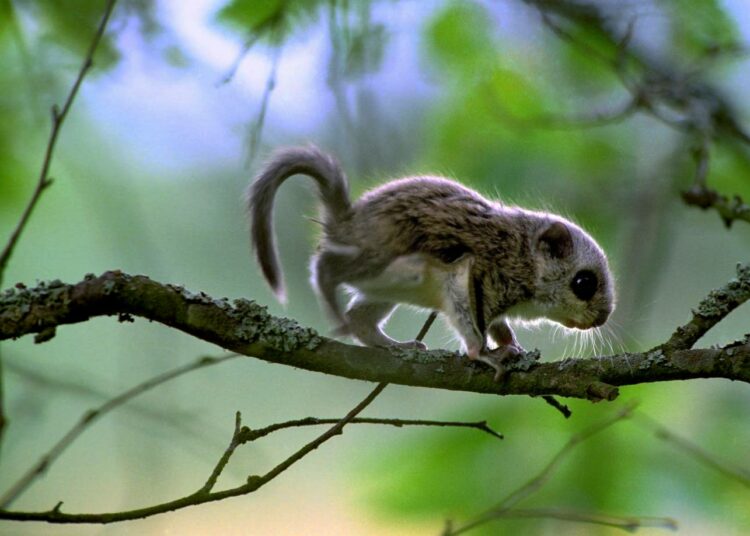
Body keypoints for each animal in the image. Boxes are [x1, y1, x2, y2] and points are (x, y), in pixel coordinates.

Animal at [248, 146, 616, 376]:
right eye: (584, 283)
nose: (602, 319)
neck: (520, 254)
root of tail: (344, 221)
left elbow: (499, 326)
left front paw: (512, 344)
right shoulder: (467, 276)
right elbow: (472, 328)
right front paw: (485, 354)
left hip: (386, 286)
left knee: (359, 319)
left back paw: (393, 346)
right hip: (387, 262)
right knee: (325, 267)